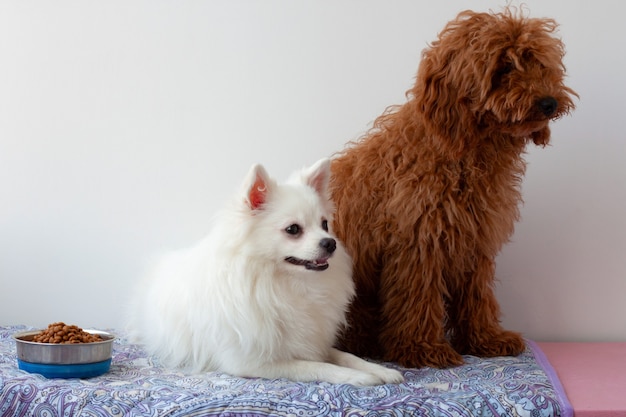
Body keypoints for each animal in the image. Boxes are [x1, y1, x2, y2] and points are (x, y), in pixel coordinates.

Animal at [129, 158, 402, 386]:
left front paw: (381, 370)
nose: (330, 243)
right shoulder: (250, 362)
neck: (282, 284)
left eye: (325, 224)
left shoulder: (312, 341)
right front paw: (357, 376)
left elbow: (344, 355)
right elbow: (314, 366)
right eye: (293, 229)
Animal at [332, 8, 576, 368]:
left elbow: (476, 296)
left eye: (539, 63)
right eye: (505, 66)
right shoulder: (419, 242)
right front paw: (423, 348)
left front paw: (485, 338)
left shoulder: (474, 241)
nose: (549, 102)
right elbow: (418, 298)